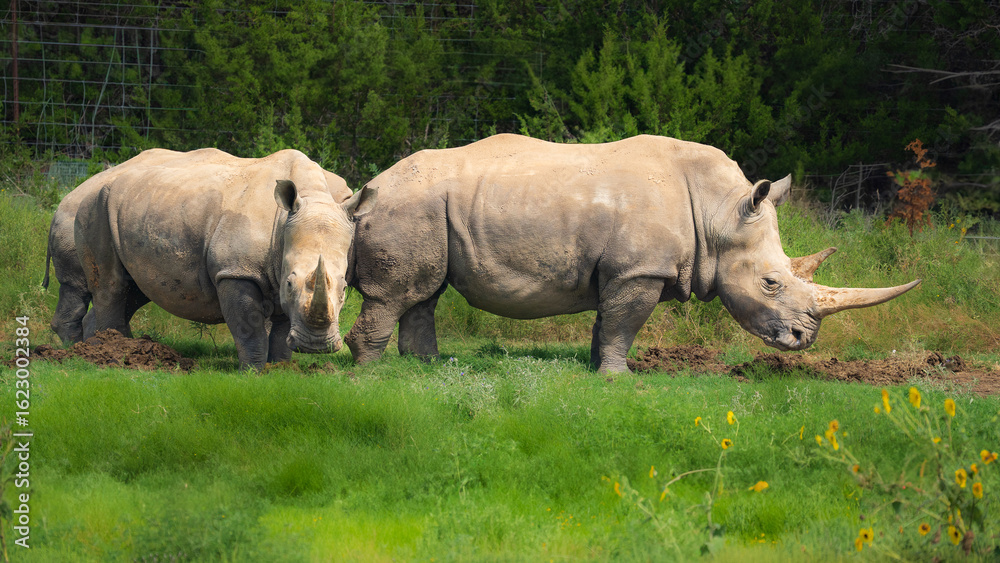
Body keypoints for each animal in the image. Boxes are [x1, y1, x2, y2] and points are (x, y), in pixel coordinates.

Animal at [56, 148, 376, 370]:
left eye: (344, 288)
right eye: (289, 283)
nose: (316, 347)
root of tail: (89, 184)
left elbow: (283, 324)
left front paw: (280, 368)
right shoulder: (235, 270)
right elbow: (248, 325)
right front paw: (253, 372)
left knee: (133, 288)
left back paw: (106, 350)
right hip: (94, 207)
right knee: (112, 286)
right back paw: (115, 357)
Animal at [346, 134, 919, 373]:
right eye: (771, 282)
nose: (804, 340)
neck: (719, 213)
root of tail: (367, 189)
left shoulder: (625, 270)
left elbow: (609, 321)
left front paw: (598, 369)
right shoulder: (640, 270)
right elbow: (625, 321)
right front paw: (619, 379)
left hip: (429, 209)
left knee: (425, 291)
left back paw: (427, 368)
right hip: (408, 205)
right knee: (400, 292)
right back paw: (371, 373)